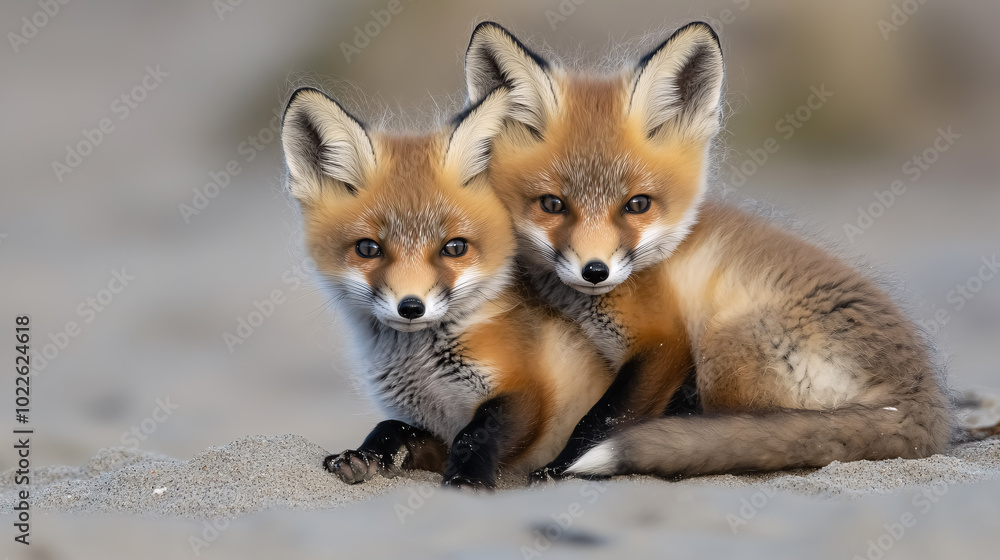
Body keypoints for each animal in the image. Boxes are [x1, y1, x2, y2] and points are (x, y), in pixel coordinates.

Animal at [280, 85, 613, 489]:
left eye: (454, 247)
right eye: (368, 249)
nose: (411, 307)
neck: (423, 370)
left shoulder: (531, 393)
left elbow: (475, 433)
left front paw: (467, 481)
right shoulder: (432, 426)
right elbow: (392, 427)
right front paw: (363, 456)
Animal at [461, 21, 954, 481]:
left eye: (637, 204)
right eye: (552, 205)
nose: (595, 271)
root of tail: (924, 397)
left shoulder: (665, 342)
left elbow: (602, 419)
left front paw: (556, 467)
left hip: (723, 344)